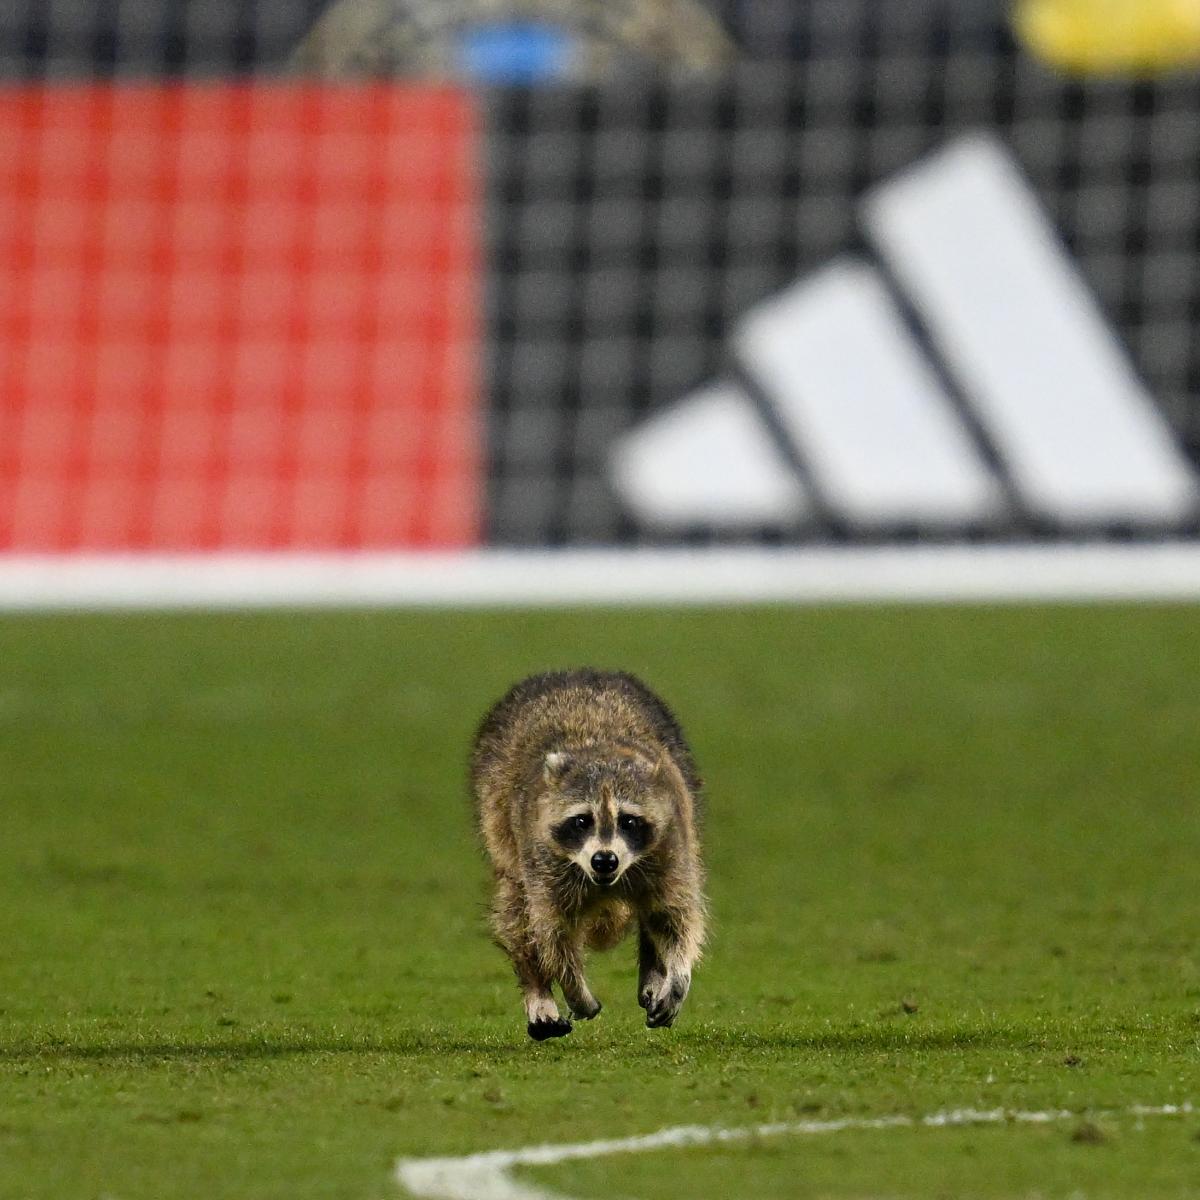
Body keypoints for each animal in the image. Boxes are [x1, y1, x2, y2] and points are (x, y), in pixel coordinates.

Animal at [471, 669, 707, 1040]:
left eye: (628, 821)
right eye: (582, 820)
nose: (605, 859)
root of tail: (574, 674)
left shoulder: (670, 843)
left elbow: (676, 916)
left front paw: (677, 974)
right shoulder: (543, 858)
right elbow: (553, 931)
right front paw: (574, 989)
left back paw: (655, 968)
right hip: (500, 824)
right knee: (515, 911)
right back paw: (539, 993)